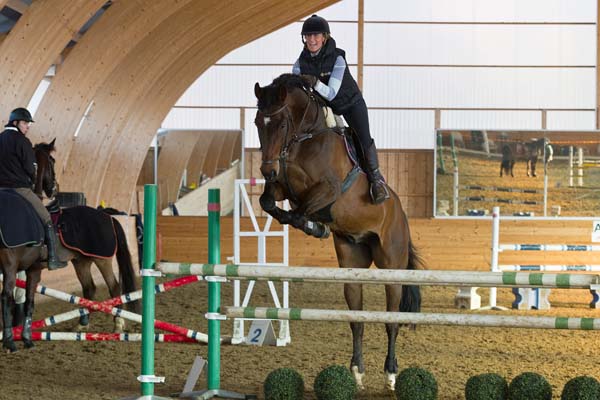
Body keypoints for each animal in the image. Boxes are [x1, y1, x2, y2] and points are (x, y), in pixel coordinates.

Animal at [0, 141, 138, 354]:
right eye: (53, 161)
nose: (54, 188)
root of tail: (107, 215)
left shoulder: (29, 268)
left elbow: (24, 299)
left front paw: (20, 338)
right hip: (81, 261)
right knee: (89, 288)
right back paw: (82, 323)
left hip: (101, 259)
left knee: (114, 287)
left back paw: (118, 324)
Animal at [253, 73, 422, 390]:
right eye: (258, 123)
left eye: (280, 124)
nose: (267, 171)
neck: (304, 138)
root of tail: (400, 214)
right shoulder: (283, 186)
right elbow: (268, 202)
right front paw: (313, 225)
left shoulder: (328, 189)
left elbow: (300, 211)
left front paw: (314, 226)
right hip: (352, 264)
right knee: (356, 320)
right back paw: (356, 371)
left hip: (392, 267)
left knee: (391, 321)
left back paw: (391, 373)